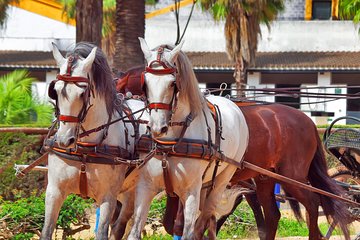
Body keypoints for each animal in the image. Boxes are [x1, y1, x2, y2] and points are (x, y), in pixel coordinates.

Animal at [40, 42, 145, 239]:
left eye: (83, 93)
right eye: (55, 91)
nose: (64, 139)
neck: (85, 148)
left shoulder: (107, 197)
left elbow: (102, 232)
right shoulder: (54, 191)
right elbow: (46, 231)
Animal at [125, 38, 249, 239]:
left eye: (172, 83)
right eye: (145, 83)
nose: (157, 127)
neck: (169, 144)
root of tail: (234, 105)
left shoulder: (191, 191)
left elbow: (189, 232)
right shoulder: (145, 186)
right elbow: (134, 231)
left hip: (222, 179)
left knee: (205, 218)